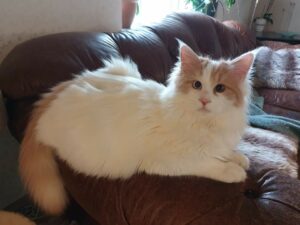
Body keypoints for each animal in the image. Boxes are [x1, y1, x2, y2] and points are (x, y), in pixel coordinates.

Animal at [18, 41, 253, 215]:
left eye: (219, 89)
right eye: (197, 85)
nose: (204, 100)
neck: (205, 124)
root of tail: (56, 91)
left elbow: (225, 152)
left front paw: (239, 158)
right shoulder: (171, 161)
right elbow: (209, 163)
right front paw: (233, 171)